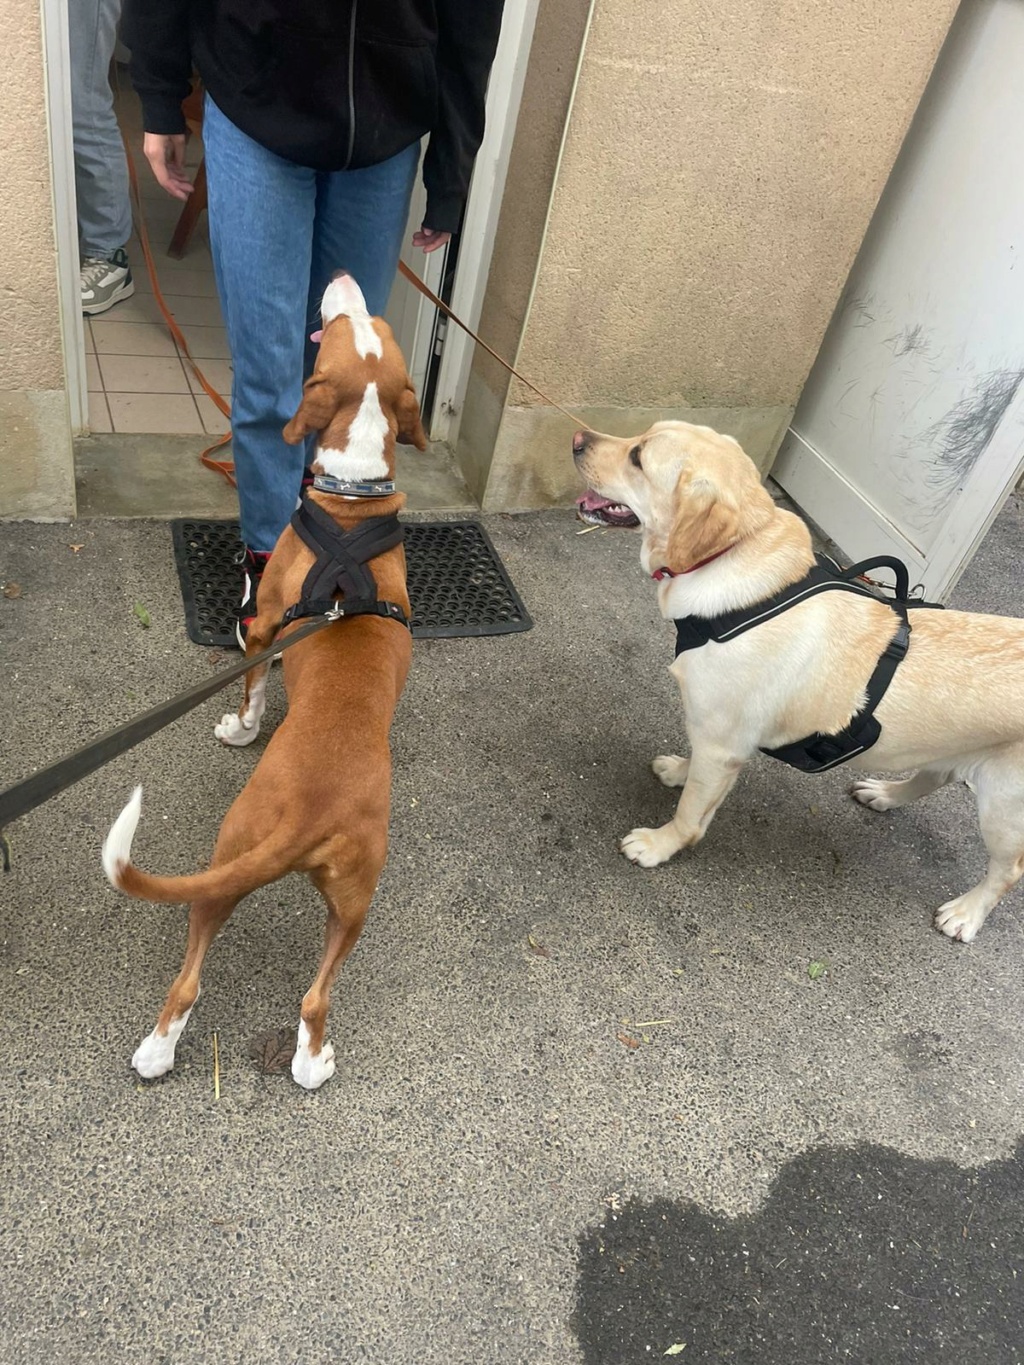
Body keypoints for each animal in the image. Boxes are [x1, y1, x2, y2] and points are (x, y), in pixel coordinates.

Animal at [102, 274, 425, 1086]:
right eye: (373, 325)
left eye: (346, 321)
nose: (342, 279)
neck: (355, 499)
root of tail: (312, 817)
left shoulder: (268, 620)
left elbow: (254, 682)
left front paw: (241, 727)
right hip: (341, 898)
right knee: (308, 997)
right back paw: (297, 1061)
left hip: (231, 852)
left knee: (192, 981)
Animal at [578, 420, 1024, 944]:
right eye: (640, 436)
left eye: (639, 458)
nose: (577, 440)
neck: (739, 558)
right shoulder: (717, 739)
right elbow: (697, 775)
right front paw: (680, 771)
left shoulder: (722, 743)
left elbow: (690, 814)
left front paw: (659, 844)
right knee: (936, 773)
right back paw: (885, 795)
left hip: (1003, 807)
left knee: (1007, 870)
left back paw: (966, 913)